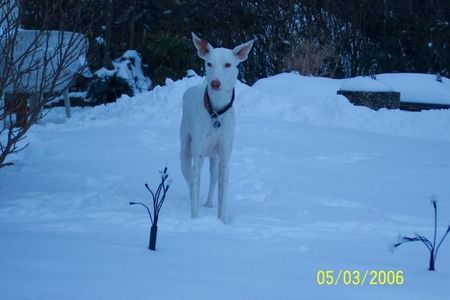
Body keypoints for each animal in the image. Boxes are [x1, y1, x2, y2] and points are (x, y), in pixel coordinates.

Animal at [180, 32, 256, 223]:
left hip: (213, 157)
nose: (215, 83)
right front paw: (195, 221)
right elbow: (195, 184)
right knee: (190, 180)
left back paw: (208, 204)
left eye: (228, 65)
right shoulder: (198, 155)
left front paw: (222, 222)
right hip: (185, 152)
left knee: (212, 179)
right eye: (209, 63)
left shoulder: (224, 159)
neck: (216, 112)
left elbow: (222, 198)